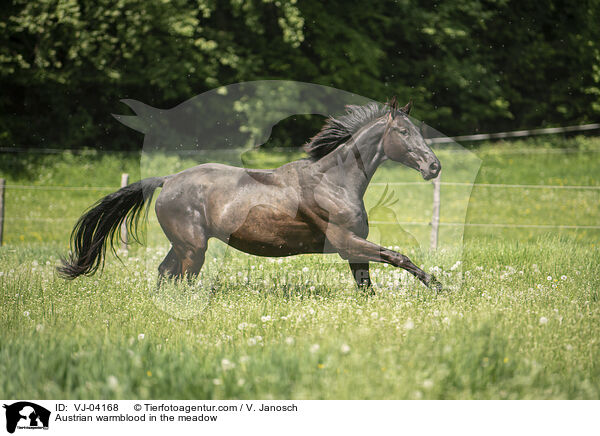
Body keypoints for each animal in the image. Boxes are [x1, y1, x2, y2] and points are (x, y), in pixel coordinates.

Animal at [57, 97, 440, 292]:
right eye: (404, 132)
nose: (434, 166)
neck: (334, 181)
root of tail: (168, 180)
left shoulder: (353, 250)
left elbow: (366, 287)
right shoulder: (346, 242)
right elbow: (399, 257)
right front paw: (437, 286)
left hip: (183, 244)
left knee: (165, 273)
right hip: (194, 248)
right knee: (182, 279)